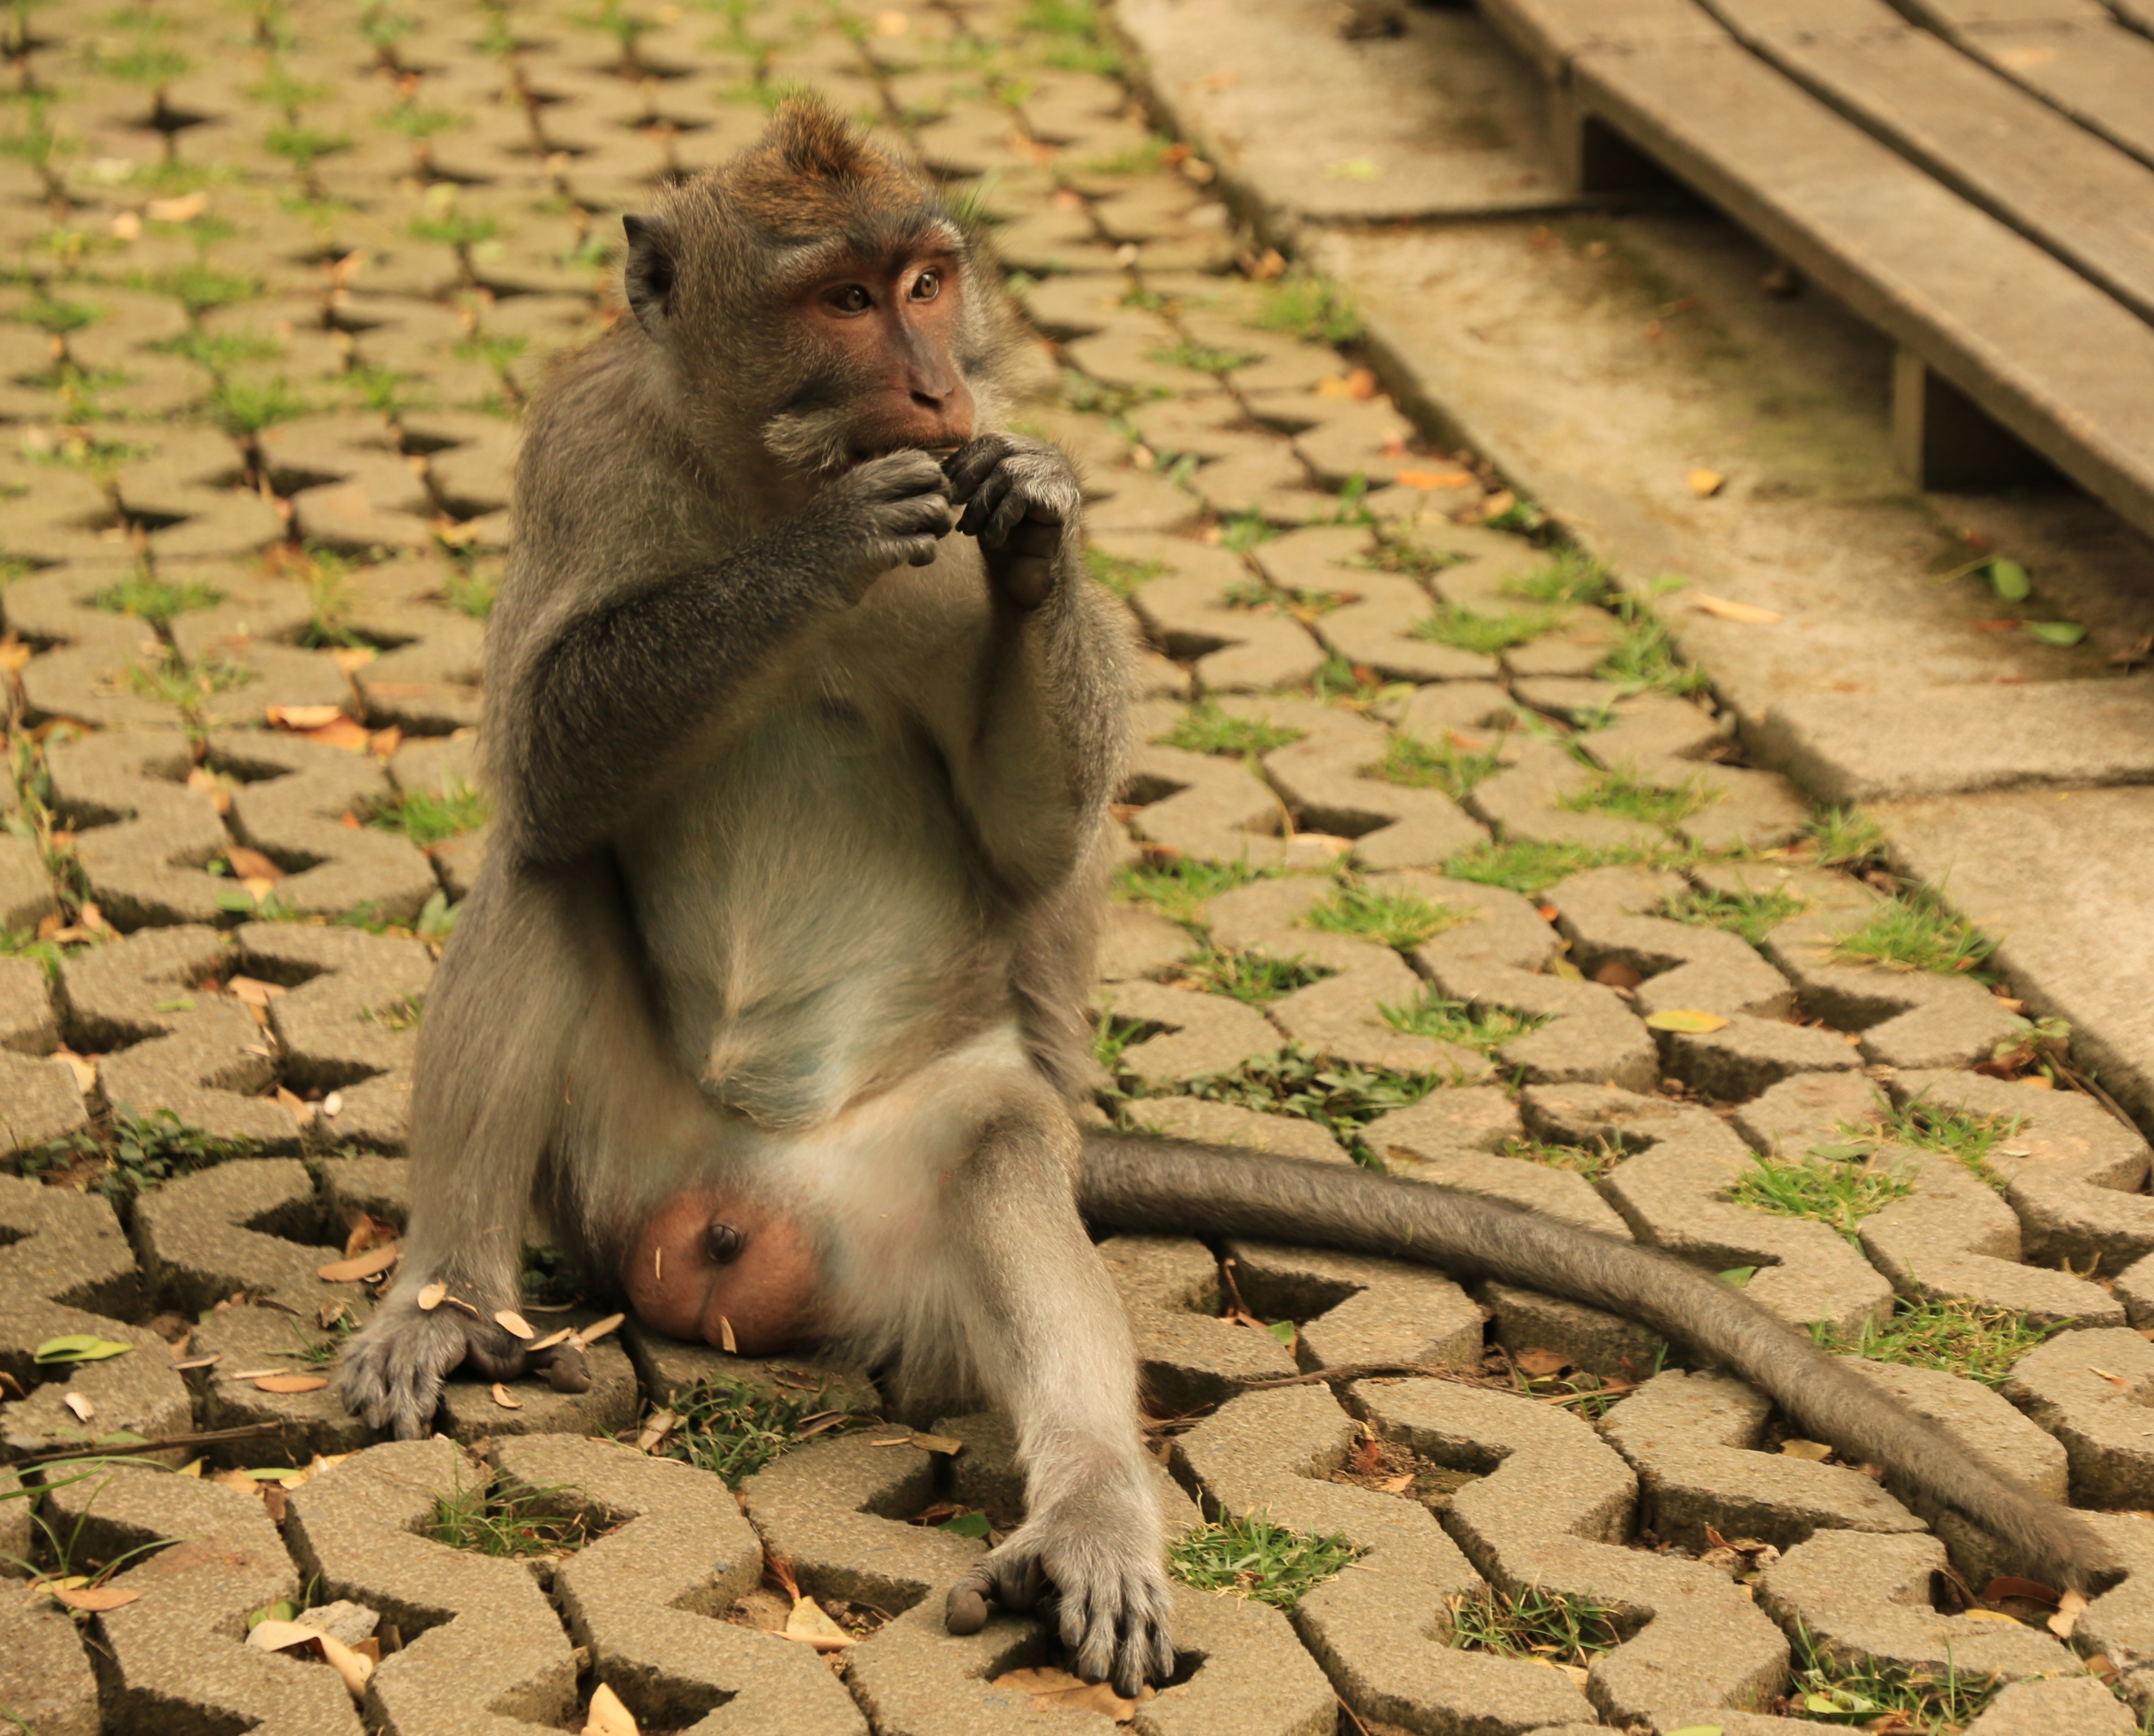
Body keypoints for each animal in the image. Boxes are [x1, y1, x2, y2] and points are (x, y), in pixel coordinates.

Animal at [339, 96, 2120, 1696]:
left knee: (1001, 1160)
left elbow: (1032, 836)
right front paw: (835, 539)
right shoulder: (582, 445)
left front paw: (1035, 519)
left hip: (893, 1203)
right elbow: (547, 763)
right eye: (838, 301)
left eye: (921, 279)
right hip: (605, 1165)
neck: (763, 477)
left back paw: (1086, 1506)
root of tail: (723, 1217)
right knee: (541, 865)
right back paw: (453, 1296)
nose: (933, 382)